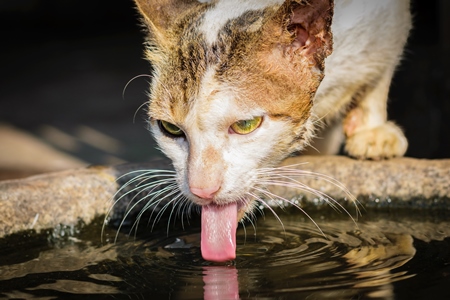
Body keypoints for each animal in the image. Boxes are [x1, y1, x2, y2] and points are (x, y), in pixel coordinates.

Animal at [131, 0, 412, 262]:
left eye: (245, 125)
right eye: (170, 128)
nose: (202, 190)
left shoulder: (389, 17)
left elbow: (381, 73)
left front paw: (371, 130)